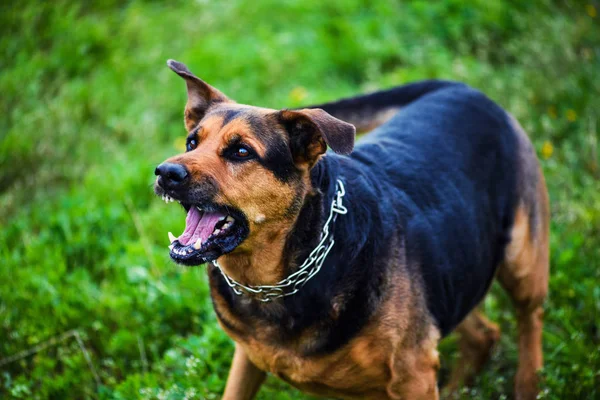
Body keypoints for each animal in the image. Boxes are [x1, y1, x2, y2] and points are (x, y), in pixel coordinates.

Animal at [154, 60, 548, 400]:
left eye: (240, 151)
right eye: (191, 142)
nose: (165, 173)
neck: (271, 280)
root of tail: (461, 88)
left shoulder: (414, 376)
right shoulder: (247, 360)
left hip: (522, 262)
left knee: (529, 321)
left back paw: (529, 382)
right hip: (452, 271)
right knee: (484, 334)